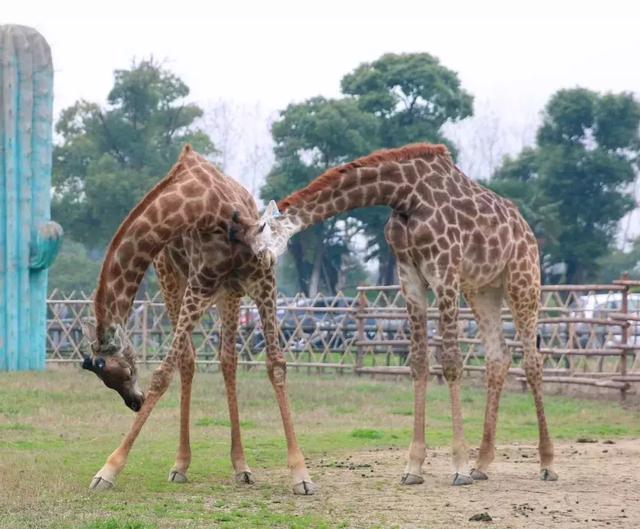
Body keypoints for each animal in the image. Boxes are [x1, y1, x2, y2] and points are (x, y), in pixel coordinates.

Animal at [80, 144, 316, 496]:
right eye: (105, 376)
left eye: (120, 370)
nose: (134, 402)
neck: (202, 205)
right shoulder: (200, 284)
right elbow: (164, 373)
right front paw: (109, 469)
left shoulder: (263, 280)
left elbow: (275, 364)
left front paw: (301, 474)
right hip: (172, 279)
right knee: (189, 359)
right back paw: (181, 464)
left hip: (229, 294)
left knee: (227, 359)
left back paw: (241, 466)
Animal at [238, 142, 556, 484]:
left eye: (262, 233)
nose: (258, 264)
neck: (405, 195)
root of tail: (527, 229)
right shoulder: (410, 277)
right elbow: (418, 363)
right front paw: (414, 466)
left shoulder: (445, 273)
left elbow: (451, 363)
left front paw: (458, 466)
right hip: (483, 290)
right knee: (499, 357)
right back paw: (482, 464)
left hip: (522, 279)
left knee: (533, 361)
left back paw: (547, 463)